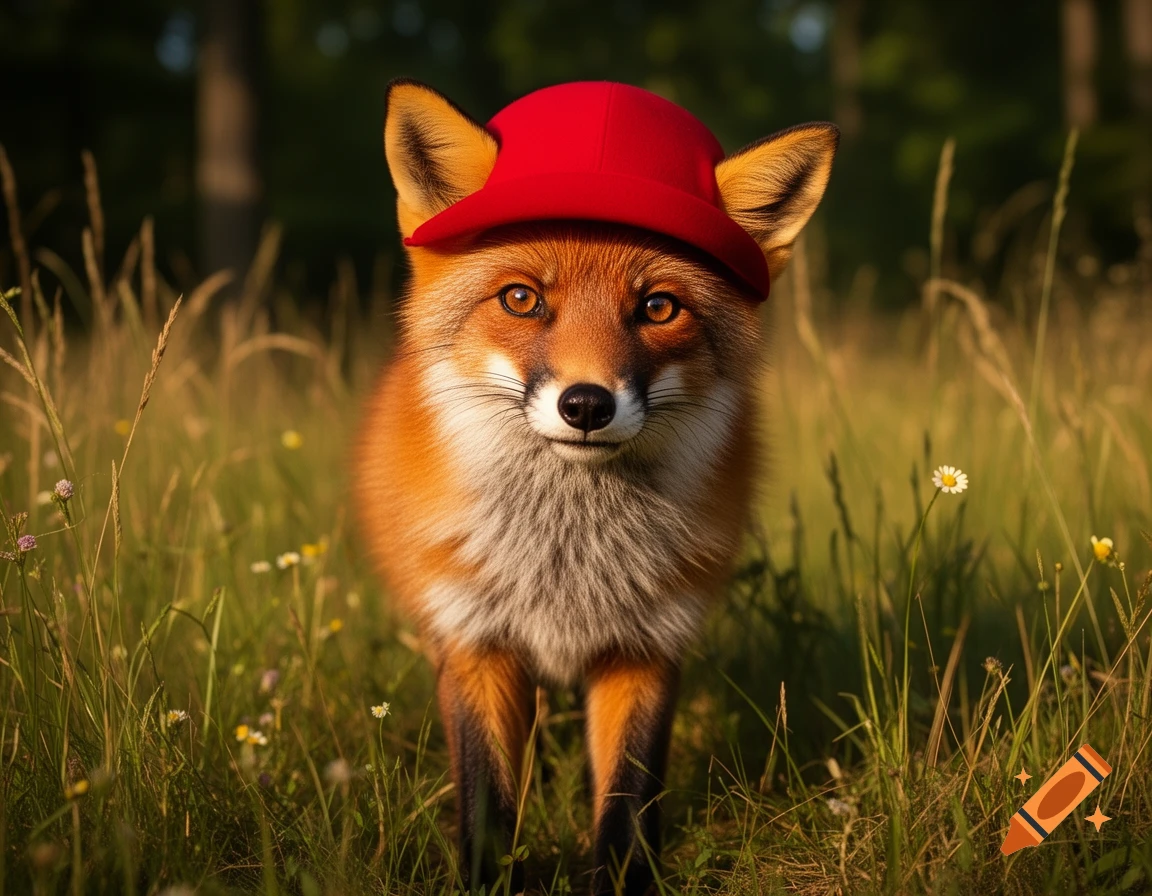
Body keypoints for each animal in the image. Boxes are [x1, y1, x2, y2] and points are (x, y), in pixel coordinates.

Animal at [355, 79, 837, 895]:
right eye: (521, 299)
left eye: (658, 307)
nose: (586, 405)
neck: (567, 562)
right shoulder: (476, 639)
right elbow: (487, 796)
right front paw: (489, 878)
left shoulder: (647, 643)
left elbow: (626, 796)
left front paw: (621, 878)